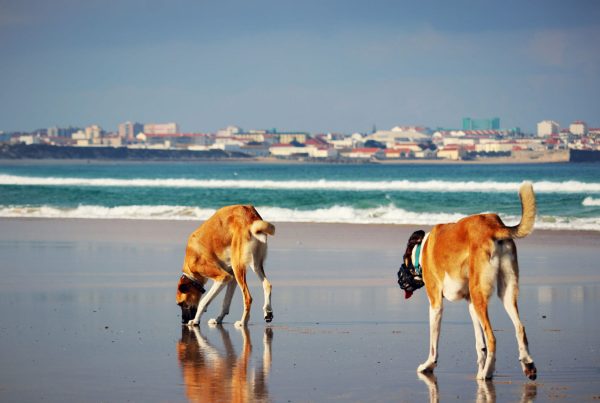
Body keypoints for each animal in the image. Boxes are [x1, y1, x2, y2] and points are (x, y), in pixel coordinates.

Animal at [408, 183, 540, 382]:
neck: (423, 247)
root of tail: (494, 226)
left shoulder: (436, 304)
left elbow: (433, 344)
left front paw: (428, 365)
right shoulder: (470, 304)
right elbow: (479, 343)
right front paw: (480, 362)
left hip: (479, 296)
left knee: (492, 338)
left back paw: (487, 372)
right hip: (504, 294)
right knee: (520, 327)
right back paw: (527, 363)